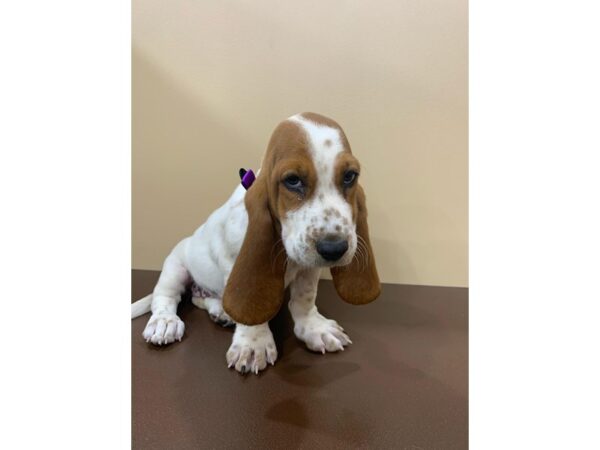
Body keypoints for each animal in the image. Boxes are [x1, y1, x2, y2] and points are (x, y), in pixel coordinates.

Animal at [131, 112, 380, 372]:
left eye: (350, 176)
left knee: (201, 298)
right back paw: (165, 322)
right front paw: (253, 344)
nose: (334, 249)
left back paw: (222, 312)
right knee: (166, 297)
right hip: (175, 267)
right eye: (292, 180)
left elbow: (304, 298)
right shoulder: (233, 259)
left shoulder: (309, 268)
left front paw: (314, 328)